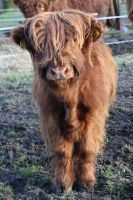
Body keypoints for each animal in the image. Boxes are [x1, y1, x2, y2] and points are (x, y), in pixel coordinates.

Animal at [11, 9, 117, 192]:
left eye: (74, 40)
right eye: (40, 43)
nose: (59, 71)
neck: (70, 97)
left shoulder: (94, 114)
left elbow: (87, 148)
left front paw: (86, 182)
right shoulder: (51, 116)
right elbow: (62, 151)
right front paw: (64, 184)